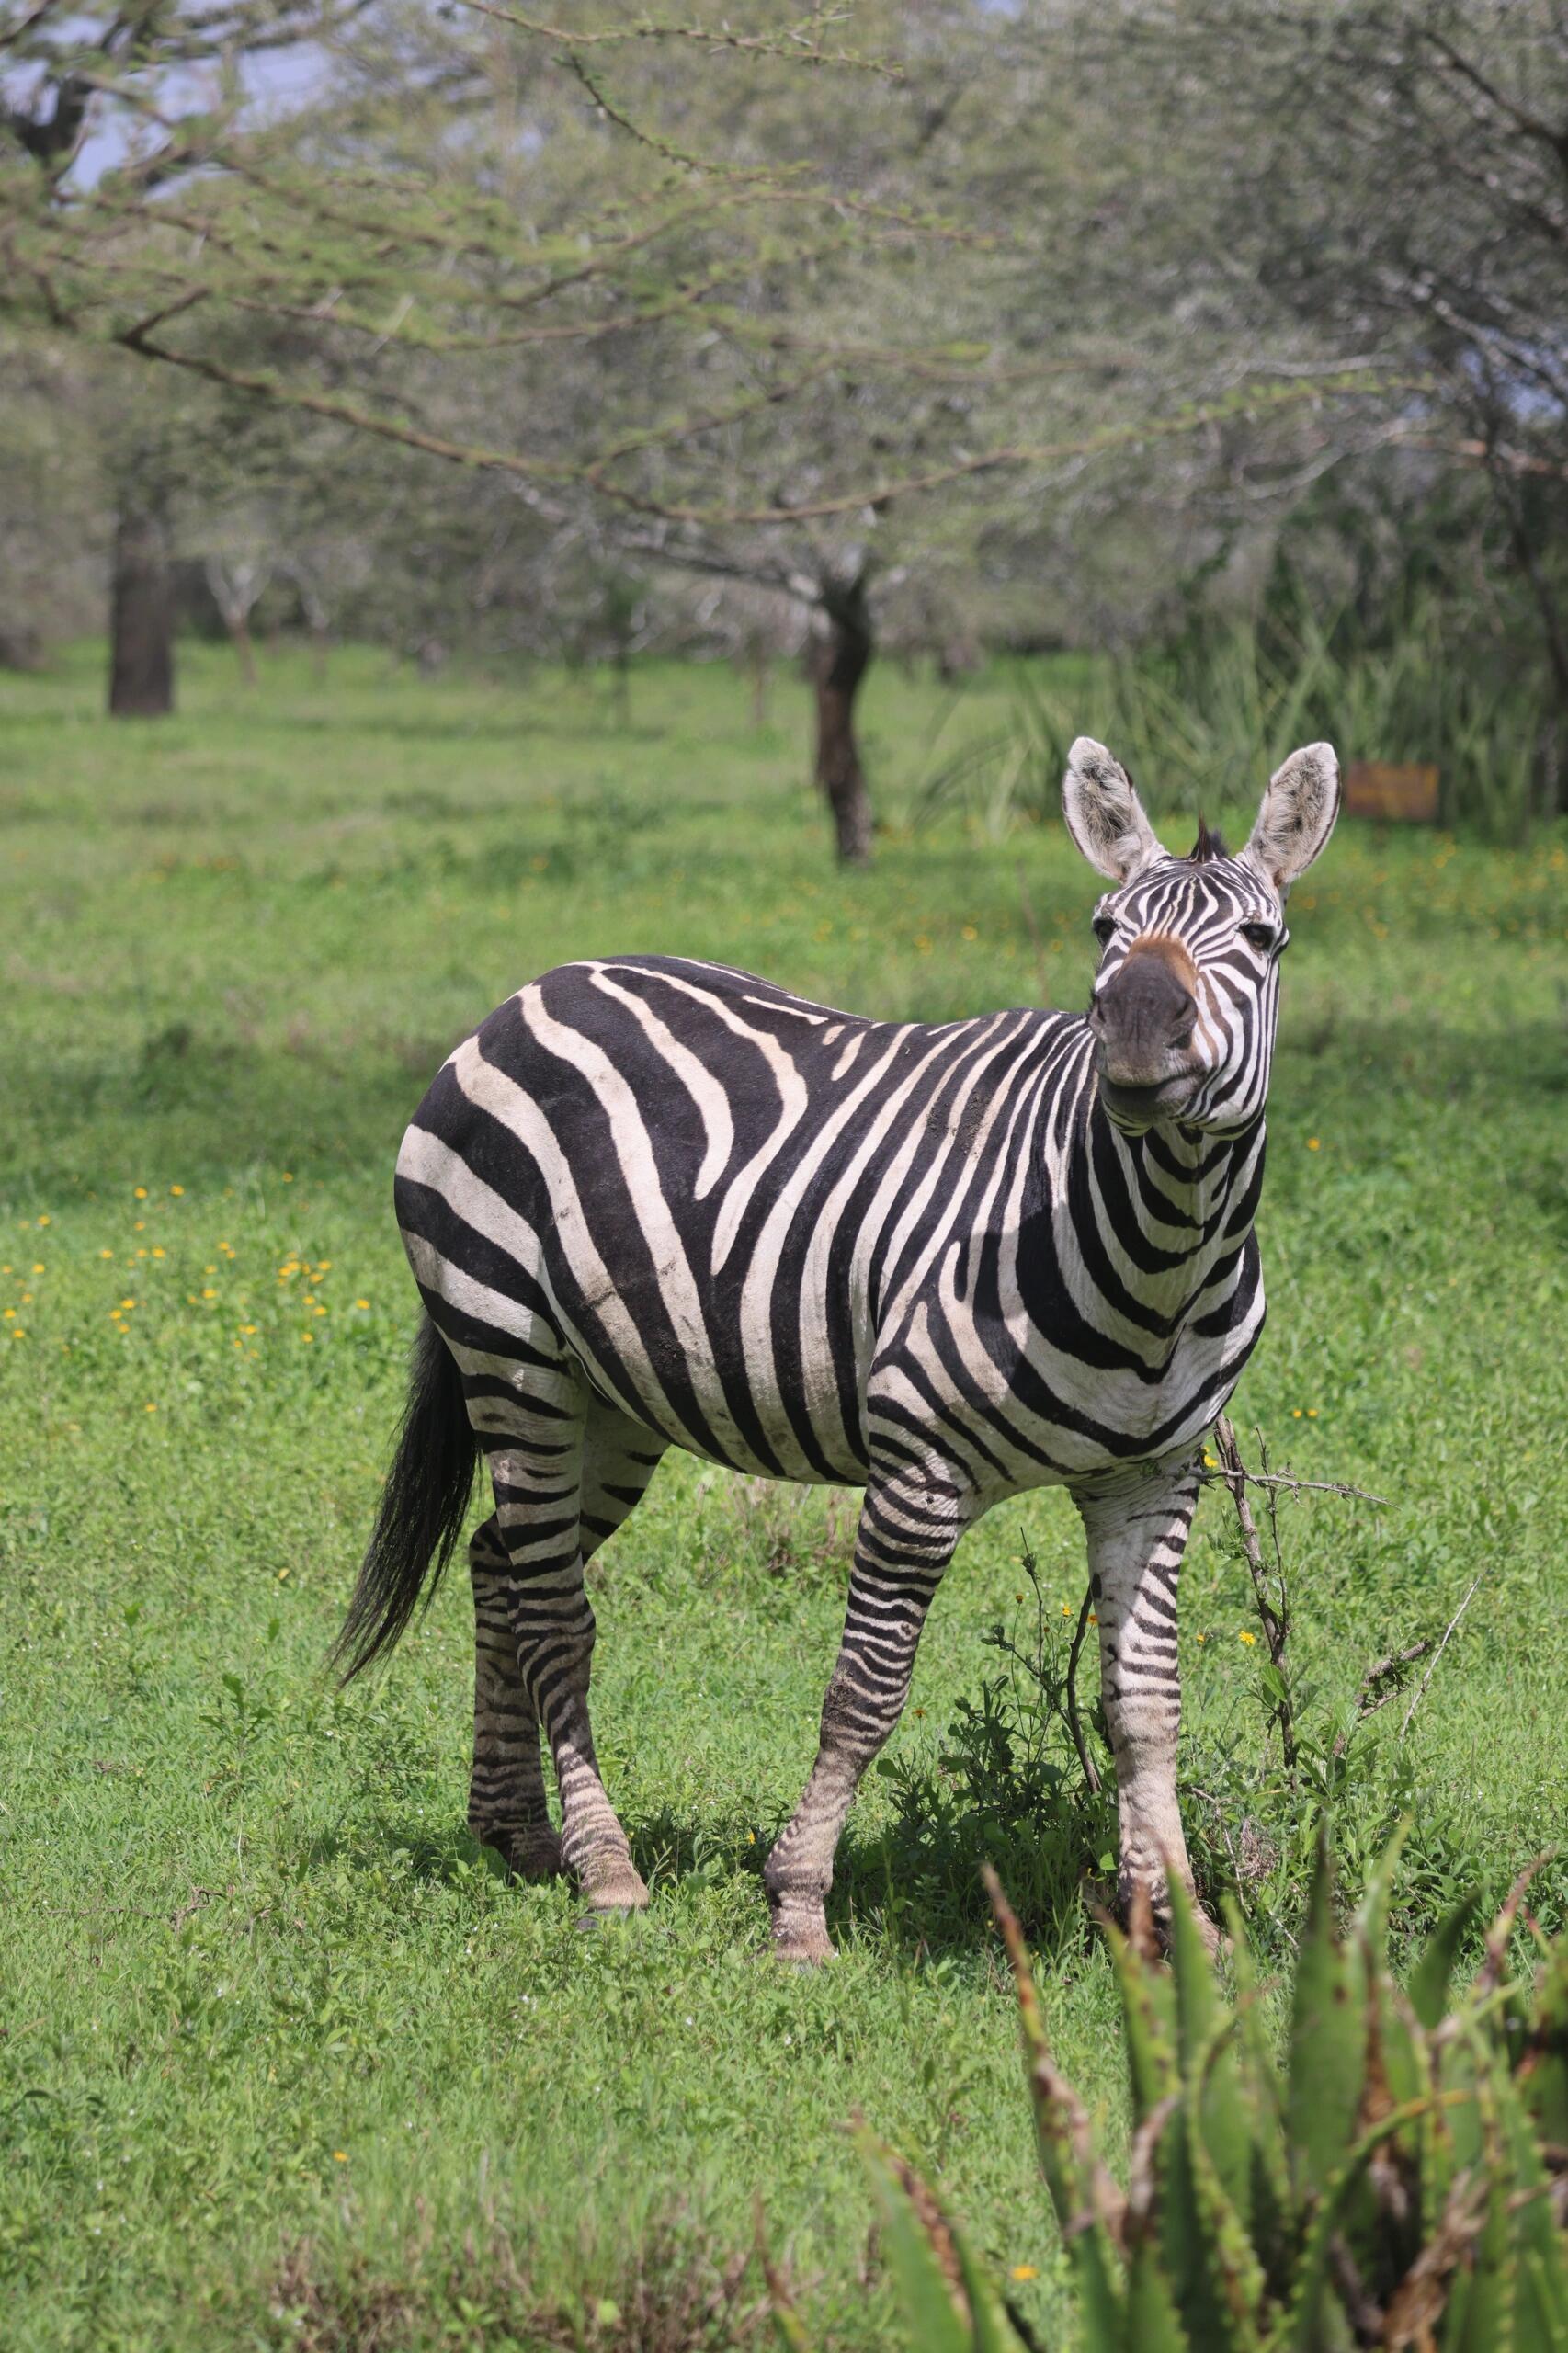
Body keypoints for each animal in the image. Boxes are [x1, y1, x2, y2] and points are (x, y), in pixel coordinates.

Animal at [338, 743, 1327, 1957]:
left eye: (1263, 939)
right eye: (1102, 927)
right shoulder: (919, 1468)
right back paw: (605, 1866)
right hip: (507, 1352)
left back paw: (520, 1833)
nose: (1136, 1038)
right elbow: (865, 1689)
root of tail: (529, 992)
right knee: (555, 1612)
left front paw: (1174, 1926)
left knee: (502, 1566)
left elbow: (1145, 1706)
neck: (1159, 1257)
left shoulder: (1151, 1474)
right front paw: (798, 1904)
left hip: (608, 1396)